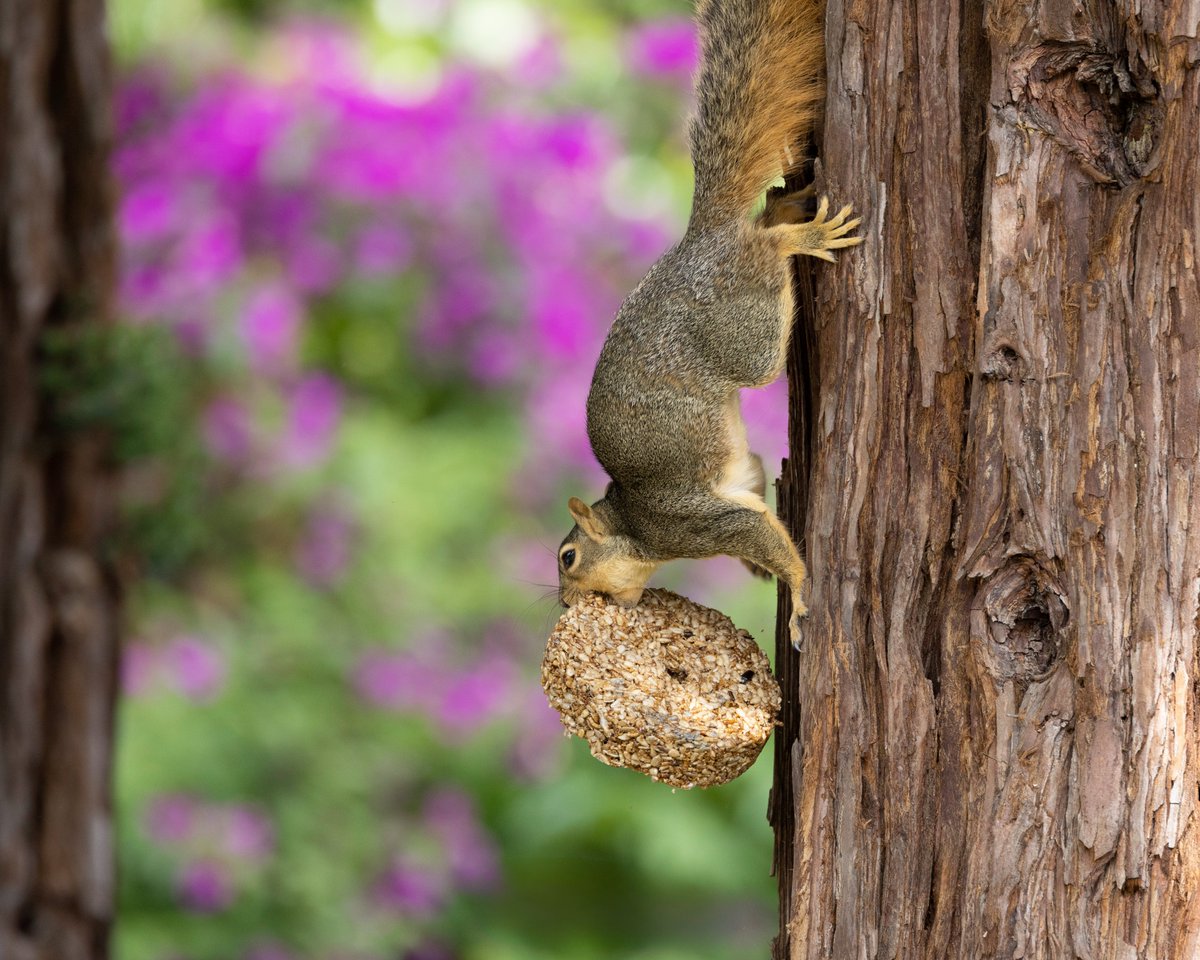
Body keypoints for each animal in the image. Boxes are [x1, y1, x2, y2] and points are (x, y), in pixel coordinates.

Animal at [557, 0, 861, 648]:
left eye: (568, 557)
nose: (565, 604)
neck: (635, 524)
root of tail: (702, 241)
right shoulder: (739, 479)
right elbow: (756, 489)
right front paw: (762, 572)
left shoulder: (696, 523)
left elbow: (760, 537)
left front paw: (797, 598)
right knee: (762, 223)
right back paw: (786, 208)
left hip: (742, 327)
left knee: (766, 257)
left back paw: (799, 237)